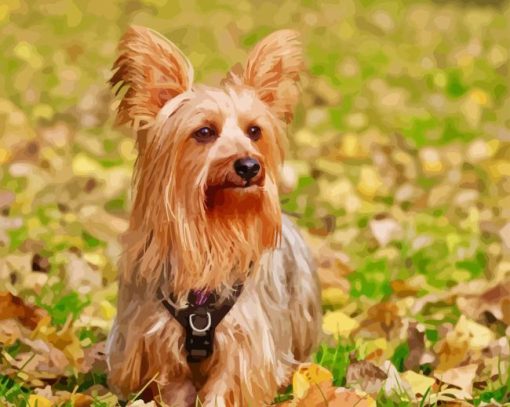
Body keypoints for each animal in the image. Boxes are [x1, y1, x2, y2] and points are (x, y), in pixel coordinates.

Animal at [105, 26, 320, 407]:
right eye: (204, 132)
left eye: (254, 131)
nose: (249, 165)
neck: (213, 228)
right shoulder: (159, 346)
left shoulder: (244, 346)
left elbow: (226, 387)